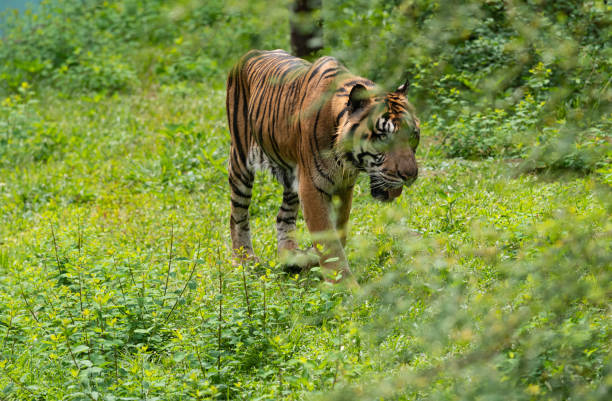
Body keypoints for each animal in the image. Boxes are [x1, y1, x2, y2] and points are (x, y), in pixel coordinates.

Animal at [226, 48, 420, 282]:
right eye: (383, 137)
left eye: (413, 137)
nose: (410, 175)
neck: (347, 160)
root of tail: (248, 54)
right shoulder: (312, 186)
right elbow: (328, 240)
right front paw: (343, 285)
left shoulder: (343, 186)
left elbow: (338, 232)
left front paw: (314, 262)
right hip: (240, 160)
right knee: (238, 214)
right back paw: (244, 260)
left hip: (292, 174)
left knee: (283, 215)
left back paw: (291, 257)